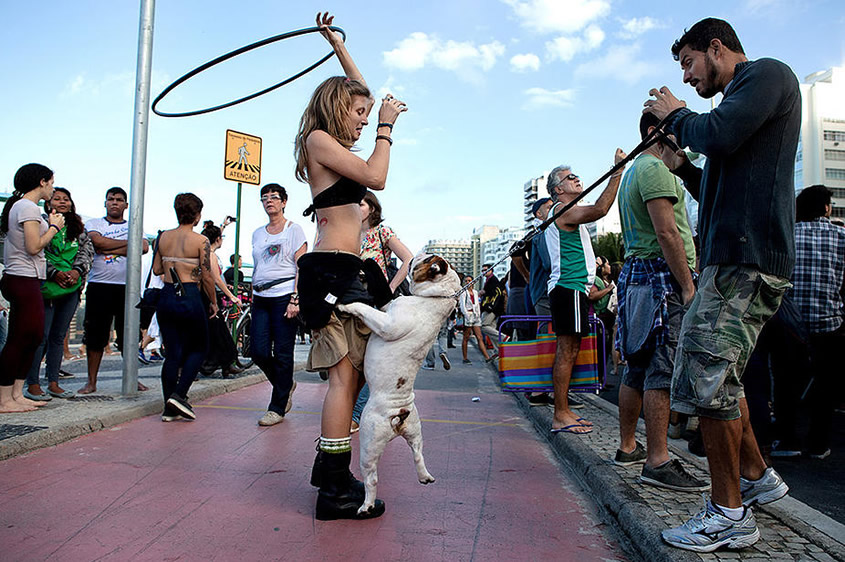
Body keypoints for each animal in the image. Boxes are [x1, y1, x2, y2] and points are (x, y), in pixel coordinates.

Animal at [332, 253, 458, 512]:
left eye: (425, 259)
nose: (416, 256)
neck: (434, 298)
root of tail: (399, 414)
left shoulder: (387, 323)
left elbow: (366, 308)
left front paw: (347, 304)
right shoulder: (387, 307)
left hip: (369, 444)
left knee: (371, 478)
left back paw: (367, 505)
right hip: (416, 431)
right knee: (418, 453)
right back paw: (425, 476)